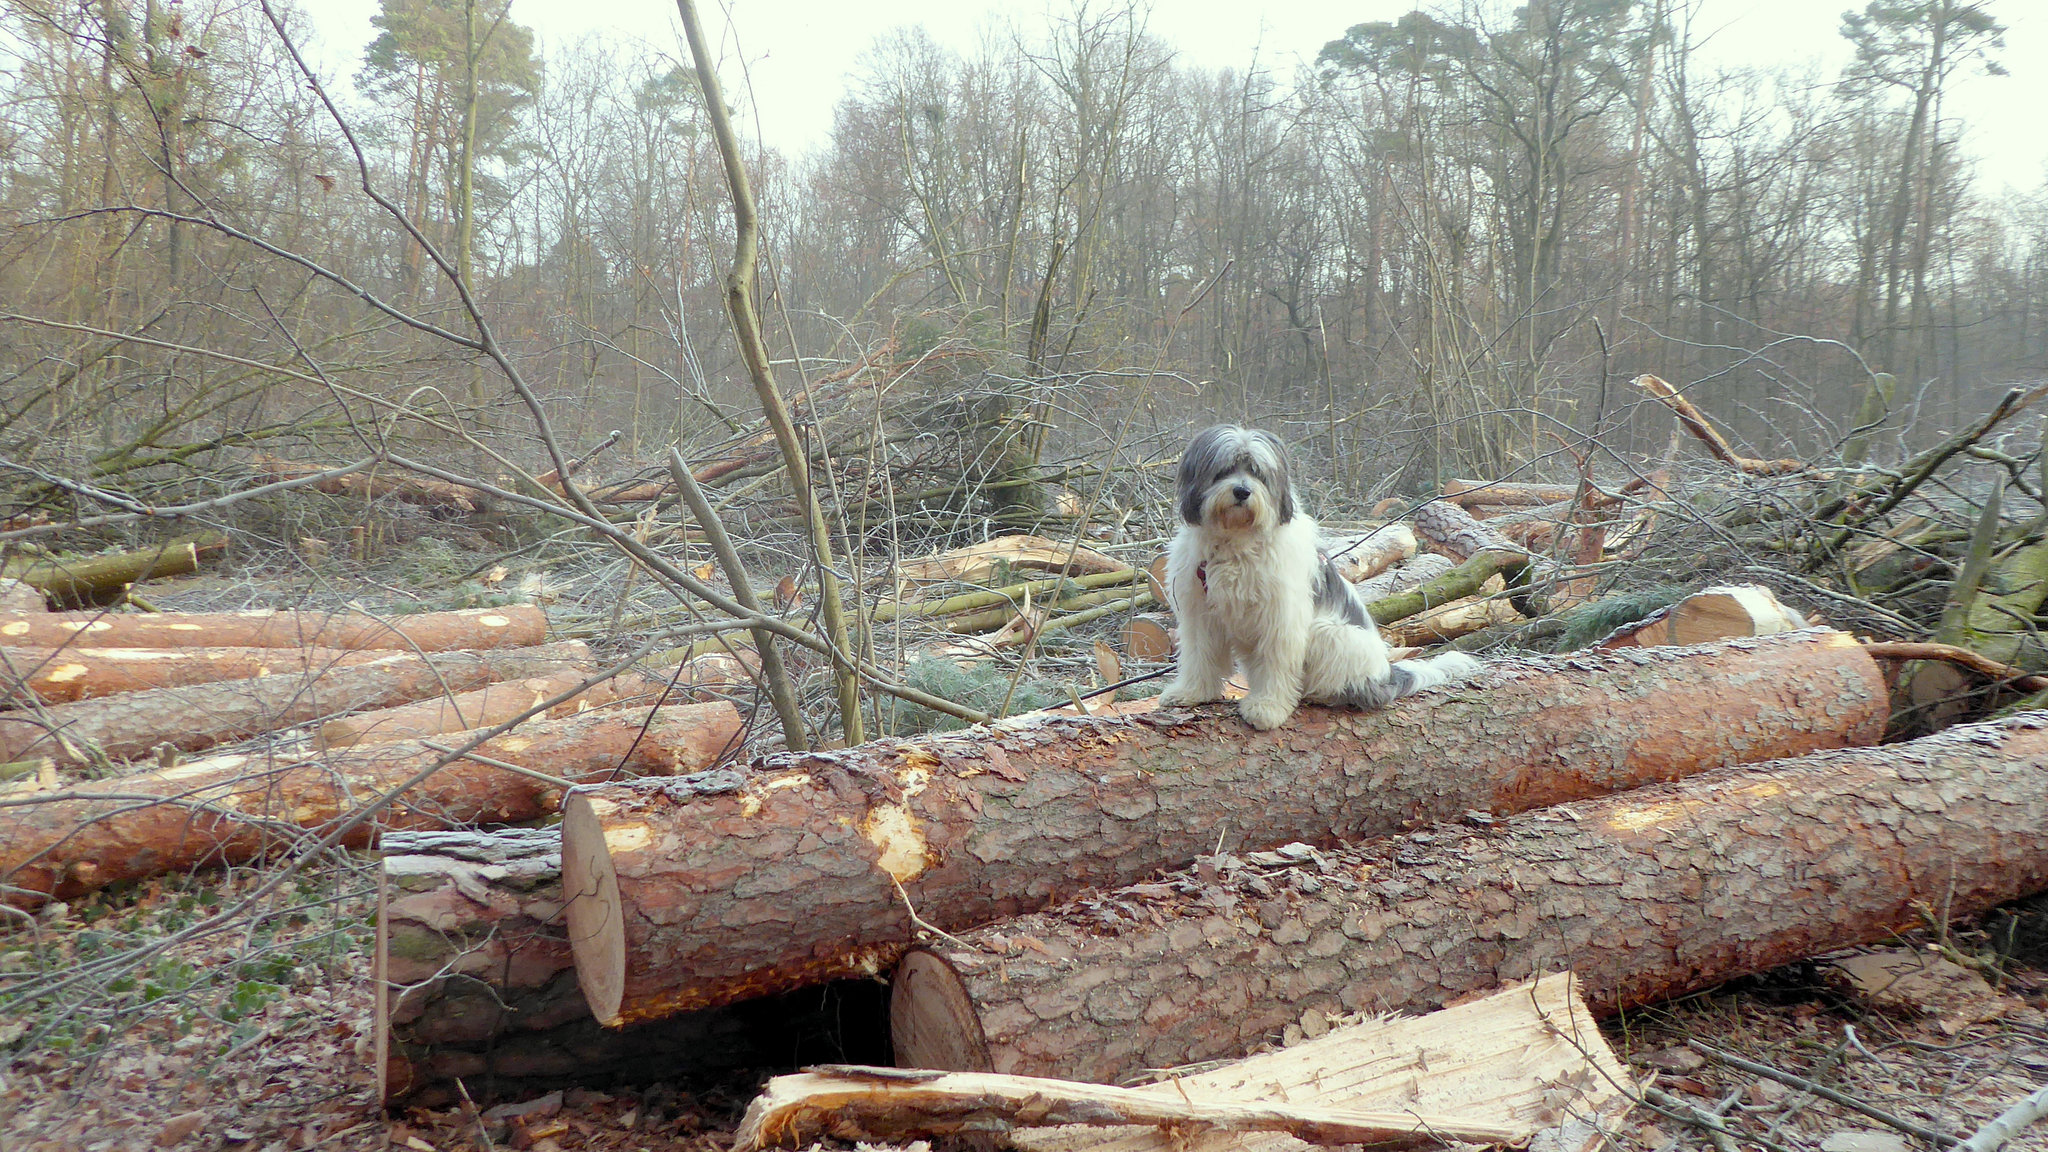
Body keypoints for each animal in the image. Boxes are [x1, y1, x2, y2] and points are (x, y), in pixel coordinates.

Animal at [1163, 422, 1482, 725]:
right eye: (1224, 469)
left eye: (1258, 473)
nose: (1242, 491)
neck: (1235, 540)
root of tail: (1386, 674)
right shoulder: (1200, 613)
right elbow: (1199, 655)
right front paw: (1191, 692)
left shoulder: (1282, 617)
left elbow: (1276, 663)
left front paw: (1268, 707)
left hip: (1331, 633)